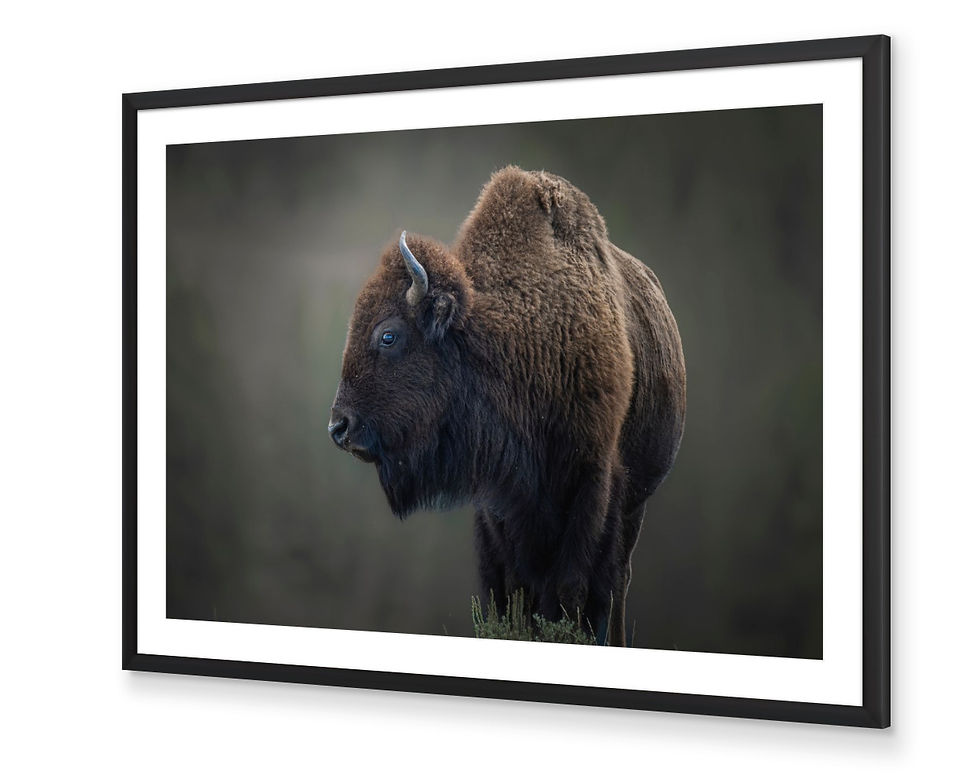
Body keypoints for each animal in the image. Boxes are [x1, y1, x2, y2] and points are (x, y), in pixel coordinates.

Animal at [329, 166, 686, 646]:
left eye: (388, 335)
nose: (339, 427)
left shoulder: (592, 481)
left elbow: (572, 587)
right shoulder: (498, 501)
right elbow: (512, 588)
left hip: (635, 504)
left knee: (617, 581)